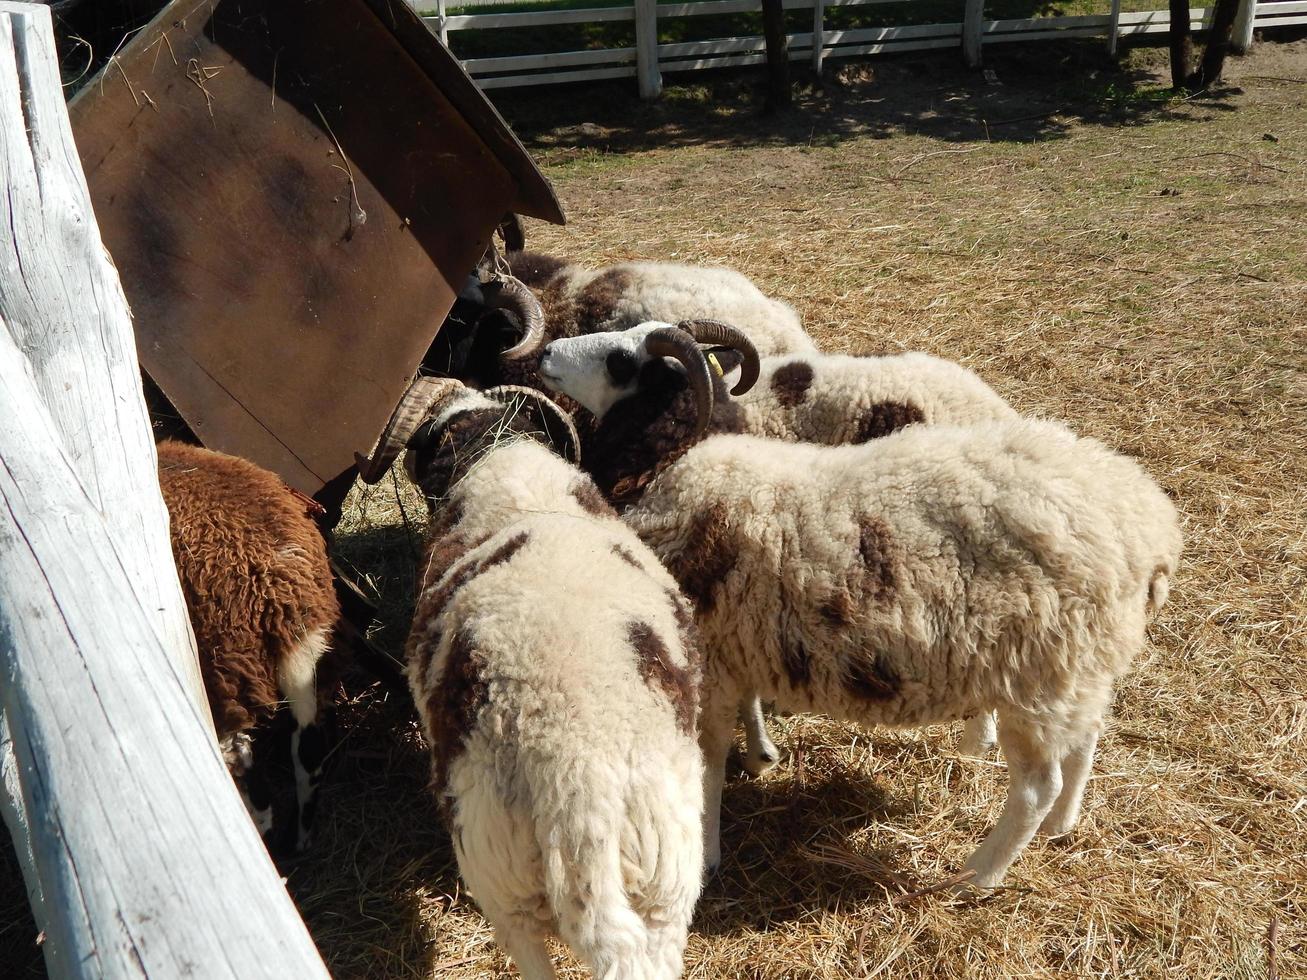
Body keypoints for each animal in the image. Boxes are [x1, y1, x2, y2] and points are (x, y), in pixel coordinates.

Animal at [535, 322, 1014, 773]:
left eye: (619, 361)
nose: (547, 352)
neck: (678, 456)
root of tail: (991, 408)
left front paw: (757, 750)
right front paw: (763, 747)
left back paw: (981, 739)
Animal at [614, 418, 1186, 893]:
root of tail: (1149, 523)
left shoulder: (705, 663)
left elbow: (706, 765)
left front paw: (706, 856)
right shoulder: (737, 652)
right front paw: (759, 756)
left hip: (1039, 675)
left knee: (1036, 787)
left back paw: (976, 877)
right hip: (1082, 666)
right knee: (1086, 737)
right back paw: (1060, 826)